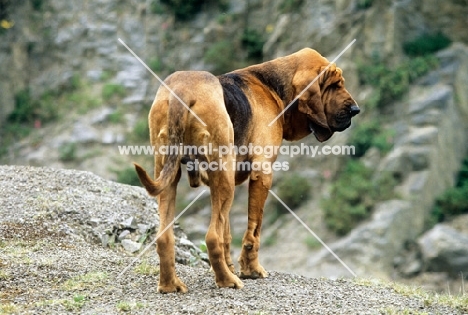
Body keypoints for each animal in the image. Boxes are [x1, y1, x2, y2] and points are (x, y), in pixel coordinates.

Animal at [133, 47, 360, 294]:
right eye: (335, 84)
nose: (356, 110)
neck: (272, 87)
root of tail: (181, 92)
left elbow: (227, 233)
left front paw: (232, 266)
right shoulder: (262, 173)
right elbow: (253, 230)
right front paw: (251, 270)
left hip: (173, 175)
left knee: (166, 237)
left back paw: (170, 284)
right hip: (223, 176)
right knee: (212, 237)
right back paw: (227, 281)